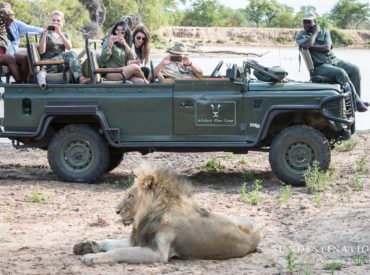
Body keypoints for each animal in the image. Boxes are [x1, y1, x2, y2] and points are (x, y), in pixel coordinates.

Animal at [73, 164, 262, 266]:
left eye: (130, 196)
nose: (116, 210)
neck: (151, 213)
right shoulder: (141, 239)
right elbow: (111, 242)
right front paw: (87, 245)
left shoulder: (159, 253)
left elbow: (119, 252)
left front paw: (91, 257)